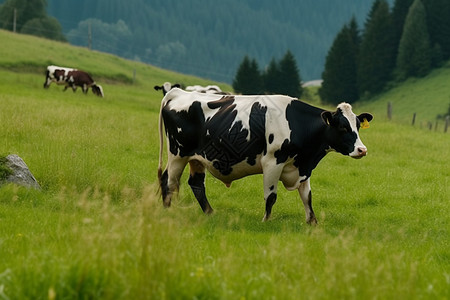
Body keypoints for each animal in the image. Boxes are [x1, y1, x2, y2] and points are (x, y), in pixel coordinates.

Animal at [158, 89, 372, 225]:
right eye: (343, 127)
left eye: (358, 125)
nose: (362, 150)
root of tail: (178, 93)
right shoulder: (272, 162)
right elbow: (271, 196)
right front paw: (266, 221)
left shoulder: (302, 166)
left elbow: (307, 196)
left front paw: (313, 222)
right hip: (178, 154)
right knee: (169, 180)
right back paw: (168, 212)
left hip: (197, 158)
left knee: (195, 184)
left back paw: (210, 213)